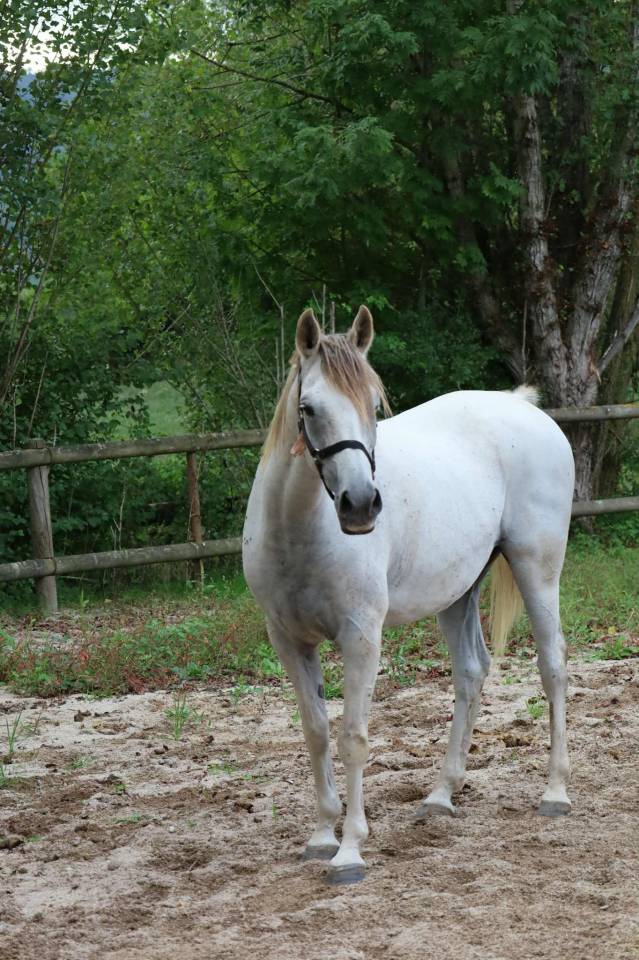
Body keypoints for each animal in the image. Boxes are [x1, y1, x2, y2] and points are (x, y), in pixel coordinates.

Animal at [242, 305, 574, 885]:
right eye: (308, 408)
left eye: (373, 406)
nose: (360, 505)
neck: (298, 531)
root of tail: (521, 405)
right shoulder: (288, 641)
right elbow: (316, 732)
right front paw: (320, 836)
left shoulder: (361, 637)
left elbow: (353, 736)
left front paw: (350, 851)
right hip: (458, 592)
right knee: (471, 672)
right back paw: (441, 796)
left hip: (538, 570)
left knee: (551, 664)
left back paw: (554, 791)